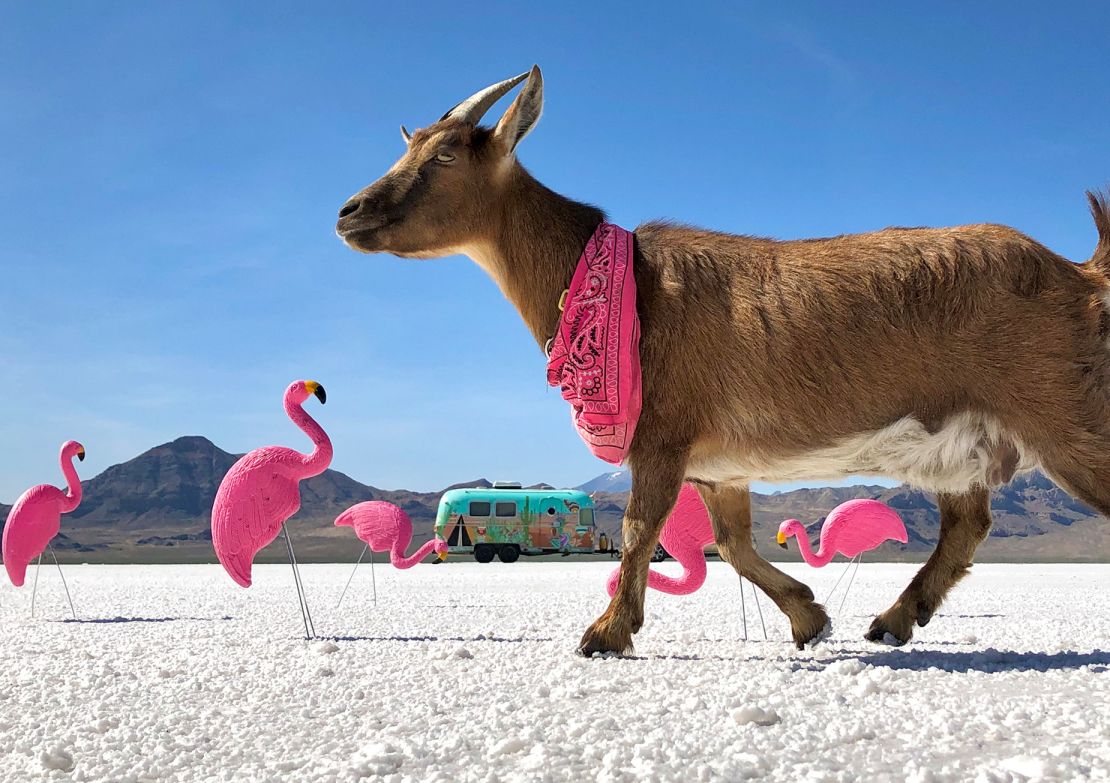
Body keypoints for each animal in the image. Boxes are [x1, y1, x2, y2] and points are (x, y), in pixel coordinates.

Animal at [333, 67, 1110, 653]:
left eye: (443, 157)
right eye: (408, 147)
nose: (350, 212)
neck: (621, 283)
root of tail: (1081, 272)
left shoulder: (662, 433)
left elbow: (638, 530)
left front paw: (605, 632)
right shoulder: (717, 463)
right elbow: (732, 544)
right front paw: (809, 618)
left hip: (1066, 417)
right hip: (966, 443)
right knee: (967, 523)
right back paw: (893, 620)